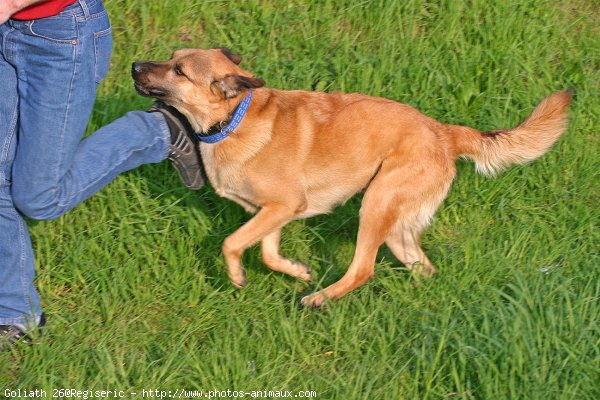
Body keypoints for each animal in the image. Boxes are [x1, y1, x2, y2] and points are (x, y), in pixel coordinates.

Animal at [131, 47, 572, 306]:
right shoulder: (272, 212)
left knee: (363, 269)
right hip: (398, 226)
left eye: (178, 70)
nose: (134, 65)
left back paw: (320, 298)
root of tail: (444, 132)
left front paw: (238, 276)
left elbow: (231, 243)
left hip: (376, 203)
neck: (232, 119)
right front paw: (298, 270)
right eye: (172, 56)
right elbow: (269, 253)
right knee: (421, 266)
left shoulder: (282, 207)